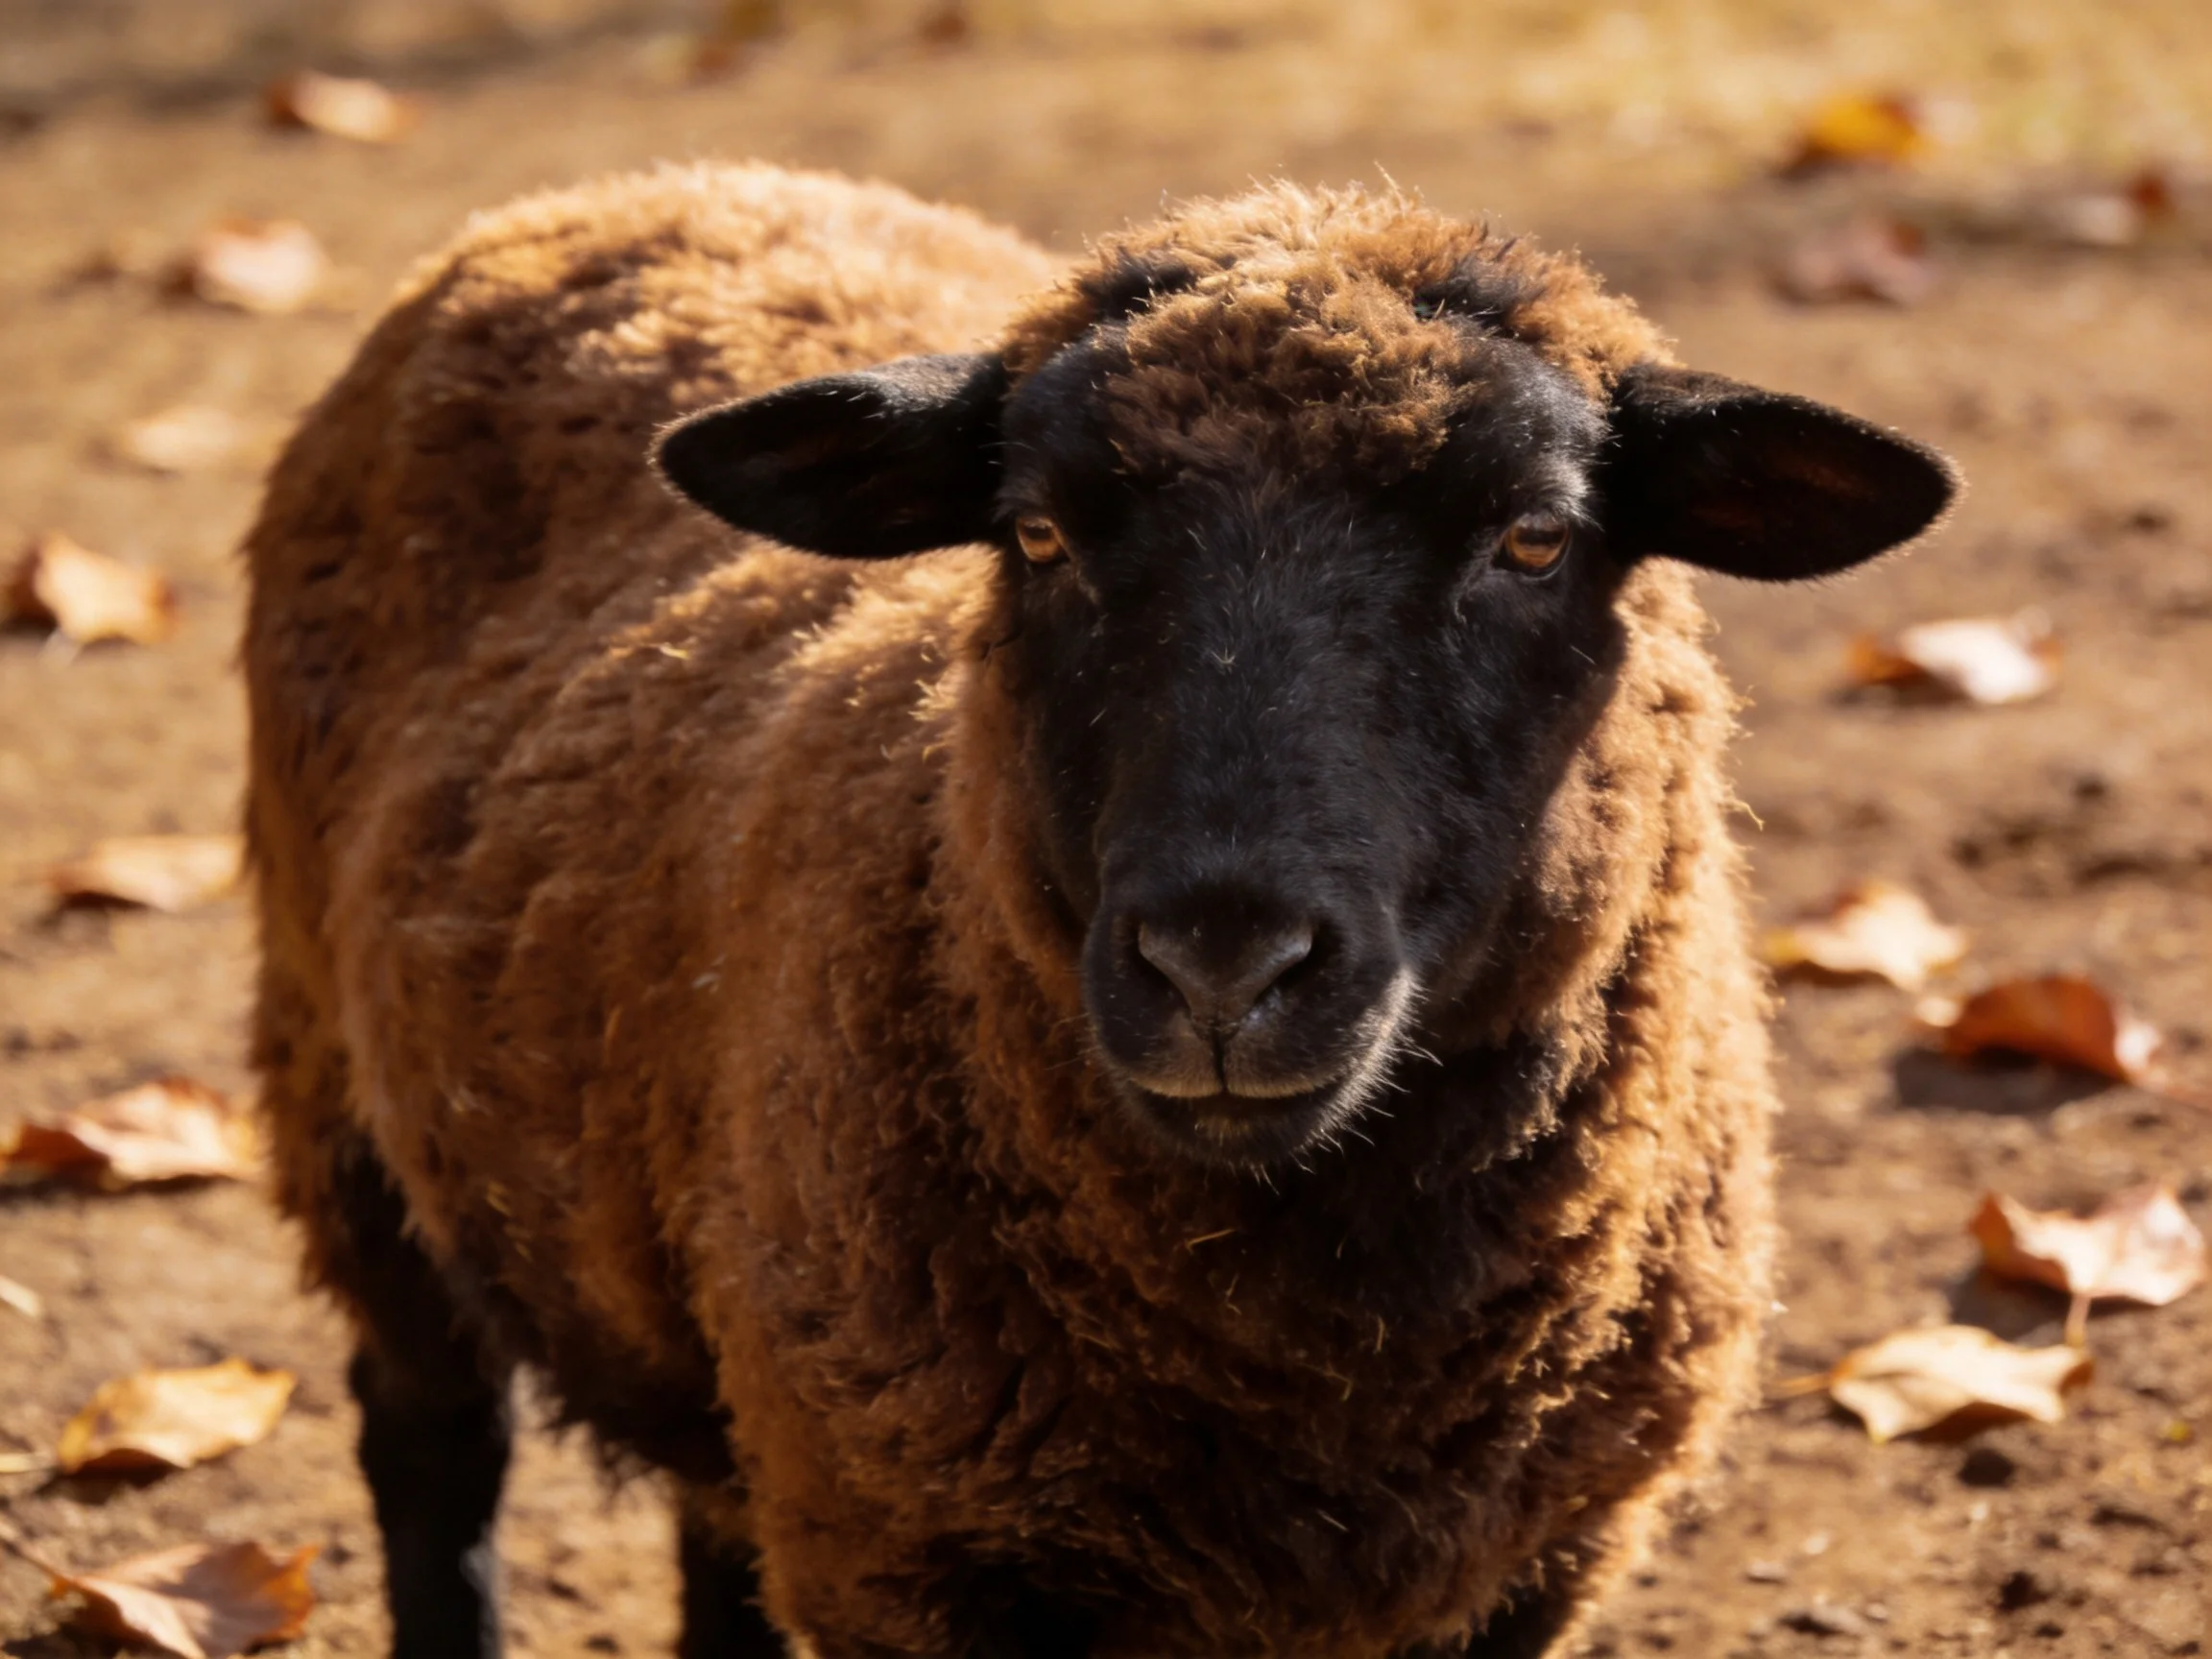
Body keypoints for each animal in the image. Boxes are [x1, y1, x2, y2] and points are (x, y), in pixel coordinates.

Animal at [242, 160, 1954, 1659]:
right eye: (1039, 532)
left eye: (1534, 538)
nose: (1223, 964)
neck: (1318, 1351)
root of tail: (627, 187)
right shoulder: (910, 1560)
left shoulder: (1540, 1566)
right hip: (340, 1091)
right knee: (427, 1447)